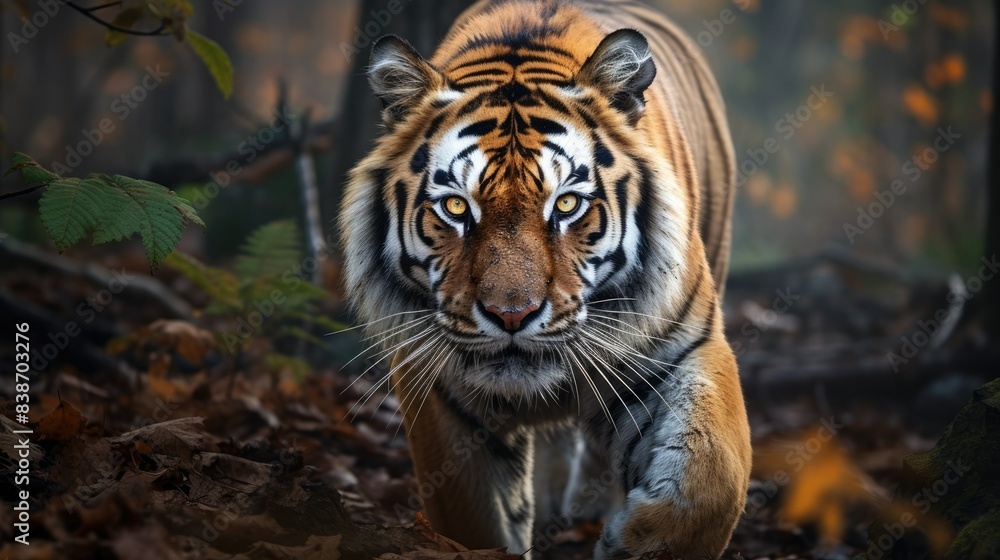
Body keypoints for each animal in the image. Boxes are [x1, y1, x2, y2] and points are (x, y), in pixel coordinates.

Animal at [339, 0, 752, 558]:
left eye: (567, 204)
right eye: (455, 208)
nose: (511, 315)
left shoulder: (684, 346)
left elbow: (713, 479)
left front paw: (632, 541)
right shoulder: (434, 385)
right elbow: (479, 523)